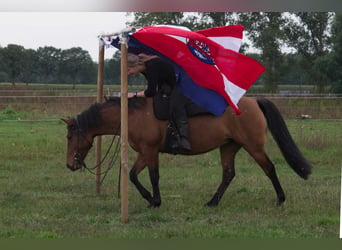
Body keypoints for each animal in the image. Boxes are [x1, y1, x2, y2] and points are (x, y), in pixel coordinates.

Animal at [62, 96, 312, 208]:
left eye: (69, 137)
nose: (70, 165)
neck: (134, 115)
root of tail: (253, 101)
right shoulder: (144, 152)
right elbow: (133, 175)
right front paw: (150, 199)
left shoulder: (150, 150)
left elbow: (153, 176)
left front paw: (156, 201)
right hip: (228, 147)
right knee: (228, 174)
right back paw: (212, 202)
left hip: (253, 146)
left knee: (269, 168)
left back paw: (280, 199)